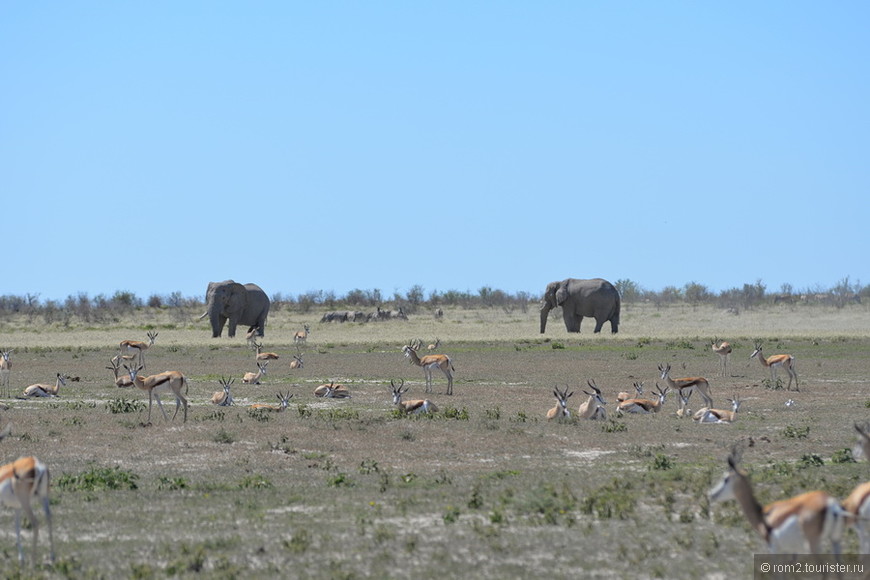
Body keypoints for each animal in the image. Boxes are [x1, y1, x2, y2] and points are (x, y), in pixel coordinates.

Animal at [712, 446, 848, 556]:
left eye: (725, 479)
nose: (712, 494)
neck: (763, 516)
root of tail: (831, 504)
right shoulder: (792, 551)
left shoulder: (775, 548)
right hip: (835, 539)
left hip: (813, 543)